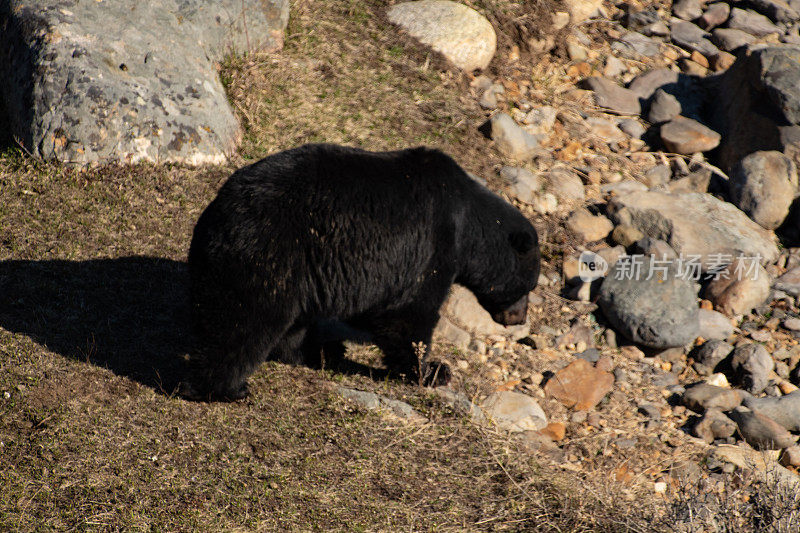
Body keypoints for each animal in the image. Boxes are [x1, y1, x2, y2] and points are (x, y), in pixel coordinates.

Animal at [184, 143, 540, 402]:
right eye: (529, 285)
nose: (519, 318)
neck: (467, 226)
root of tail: (217, 216)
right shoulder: (431, 246)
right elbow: (408, 315)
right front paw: (432, 371)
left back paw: (315, 350)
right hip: (272, 256)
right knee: (245, 323)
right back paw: (227, 388)